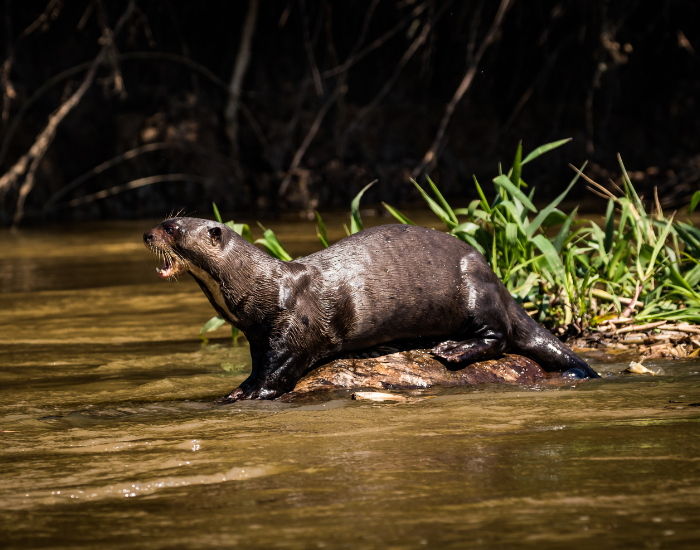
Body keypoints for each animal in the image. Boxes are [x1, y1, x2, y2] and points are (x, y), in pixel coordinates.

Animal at [143, 218, 599, 400]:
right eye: (163, 221)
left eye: (173, 227)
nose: (147, 234)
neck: (261, 286)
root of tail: (493, 274)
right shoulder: (258, 336)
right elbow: (258, 366)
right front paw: (238, 388)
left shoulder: (294, 328)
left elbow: (281, 369)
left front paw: (254, 394)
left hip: (474, 290)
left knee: (500, 335)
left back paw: (452, 350)